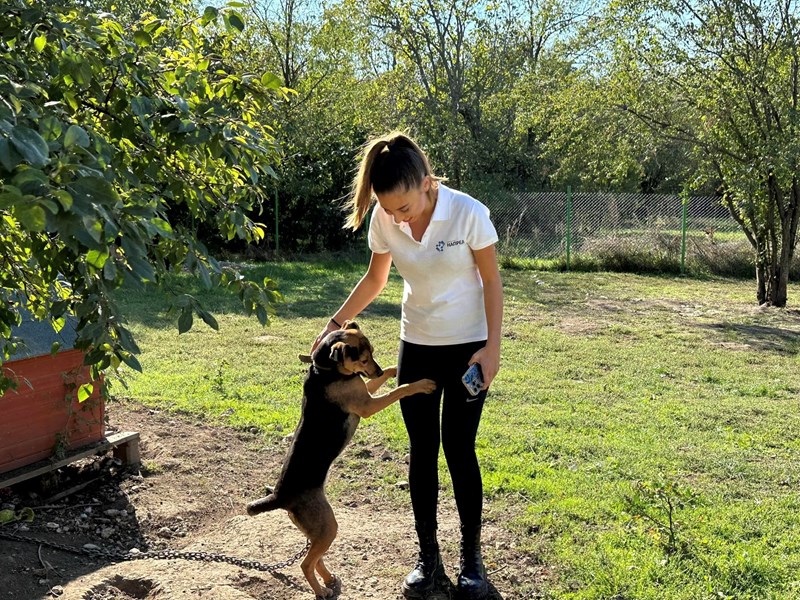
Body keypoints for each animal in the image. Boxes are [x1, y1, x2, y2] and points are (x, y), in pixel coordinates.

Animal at [246, 320, 436, 598]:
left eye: (373, 354)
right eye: (364, 358)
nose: (377, 369)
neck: (326, 370)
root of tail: (279, 497)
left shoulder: (365, 391)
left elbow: (381, 382)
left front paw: (393, 369)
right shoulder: (367, 405)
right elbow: (401, 389)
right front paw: (421, 384)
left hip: (319, 530)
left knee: (316, 558)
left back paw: (328, 579)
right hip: (328, 525)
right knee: (305, 564)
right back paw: (321, 590)